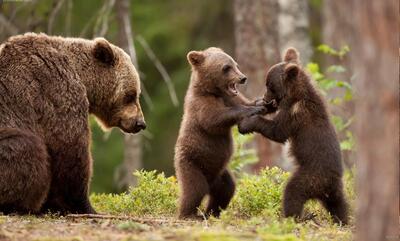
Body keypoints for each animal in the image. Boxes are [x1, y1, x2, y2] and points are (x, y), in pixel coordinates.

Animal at [0, 32, 146, 215]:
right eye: (130, 95)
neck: (83, 78)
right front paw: (84, 206)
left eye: (136, 93)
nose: (140, 123)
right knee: (26, 147)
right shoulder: (57, 93)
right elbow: (70, 149)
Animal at [174, 47, 266, 218]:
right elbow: (214, 119)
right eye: (226, 68)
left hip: (220, 173)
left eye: (235, 64)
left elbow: (244, 102)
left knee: (226, 190)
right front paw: (251, 110)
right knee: (195, 189)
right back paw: (189, 214)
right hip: (191, 163)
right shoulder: (200, 104)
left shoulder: (230, 97)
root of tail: (210, 181)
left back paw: (212, 212)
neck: (213, 91)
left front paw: (262, 103)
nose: (243, 78)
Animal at [239, 48, 348, 225]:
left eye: (269, 85)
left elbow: (277, 131)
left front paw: (246, 123)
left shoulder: (296, 114)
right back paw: (342, 220)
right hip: (335, 190)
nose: (265, 98)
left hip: (310, 177)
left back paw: (293, 217)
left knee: (293, 192)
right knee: (340, 205)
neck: (295, 95)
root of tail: (327, 185)